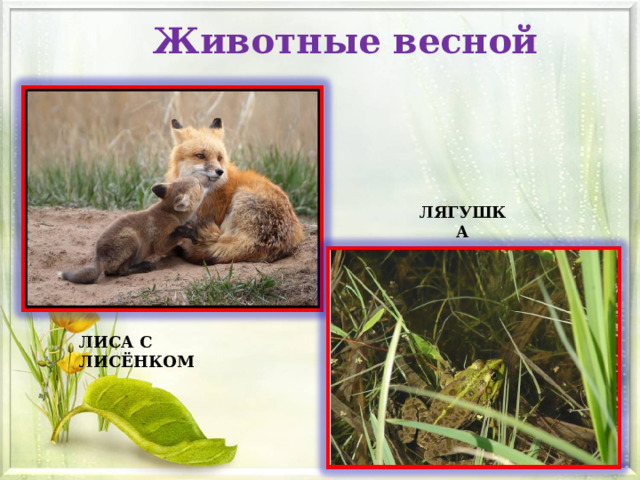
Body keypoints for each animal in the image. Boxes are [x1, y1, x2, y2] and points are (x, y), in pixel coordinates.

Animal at [58, 175, 210, 284]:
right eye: (199, 184)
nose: (209, 177)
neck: (169, 213)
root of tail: (99, 256)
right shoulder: (160, 242)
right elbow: (176, 234)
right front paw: (189, 232)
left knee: (110, 273)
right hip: (133, 239)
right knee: (122, 272)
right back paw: (146, 266)